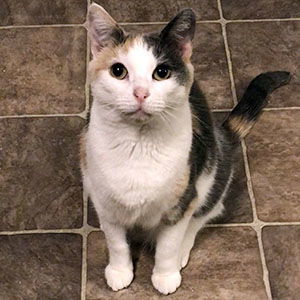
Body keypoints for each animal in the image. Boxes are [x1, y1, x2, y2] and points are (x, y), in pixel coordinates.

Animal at [79, 2, 290, 296]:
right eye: (118, 71)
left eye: (162, 73)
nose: (141, 93)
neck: (138, 143)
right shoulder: (105, 203)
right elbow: (116, 242)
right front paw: (120, 271)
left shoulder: (181, 202)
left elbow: (168, 245)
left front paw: (165, 275)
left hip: (213, 172)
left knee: (204, 214)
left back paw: (182, 251)